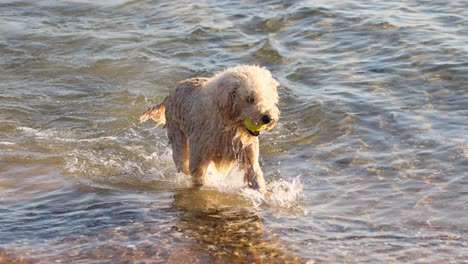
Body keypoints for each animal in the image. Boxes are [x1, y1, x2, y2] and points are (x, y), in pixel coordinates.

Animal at [139, 65, 278, 194]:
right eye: (250, 98)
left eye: (267, 97)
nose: (268, 118)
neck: (228, 124)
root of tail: (169, 94)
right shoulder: (199, 156)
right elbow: (199, 177)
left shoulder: (248, 153)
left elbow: (255, 174)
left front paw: (264, 194)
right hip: (178, 139)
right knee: (182, 163)